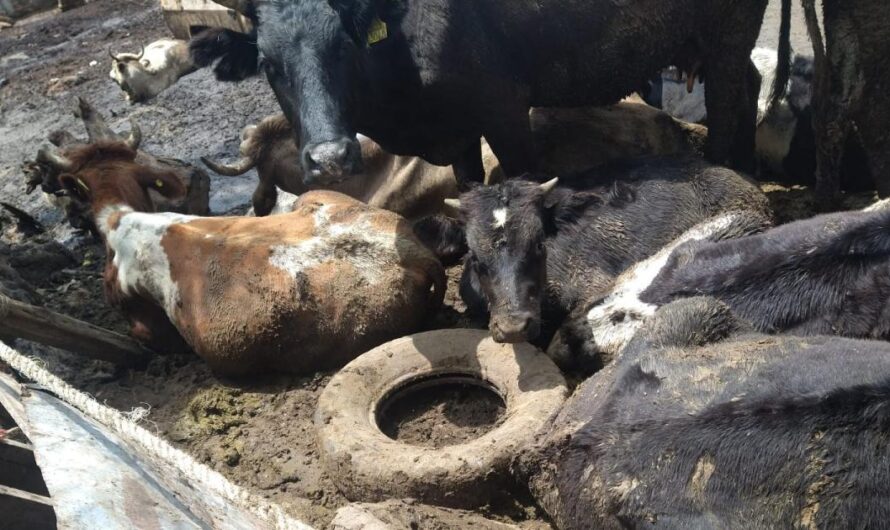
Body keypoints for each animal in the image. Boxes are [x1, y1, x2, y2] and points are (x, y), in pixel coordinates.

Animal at [191, 0, 780, 186]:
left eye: (344, 48)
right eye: (270, 65)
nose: (332, 159)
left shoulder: (504, 109)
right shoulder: (458, 134)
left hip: (727, 31)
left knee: (729, 97)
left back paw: (729, 167)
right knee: (749, 84)